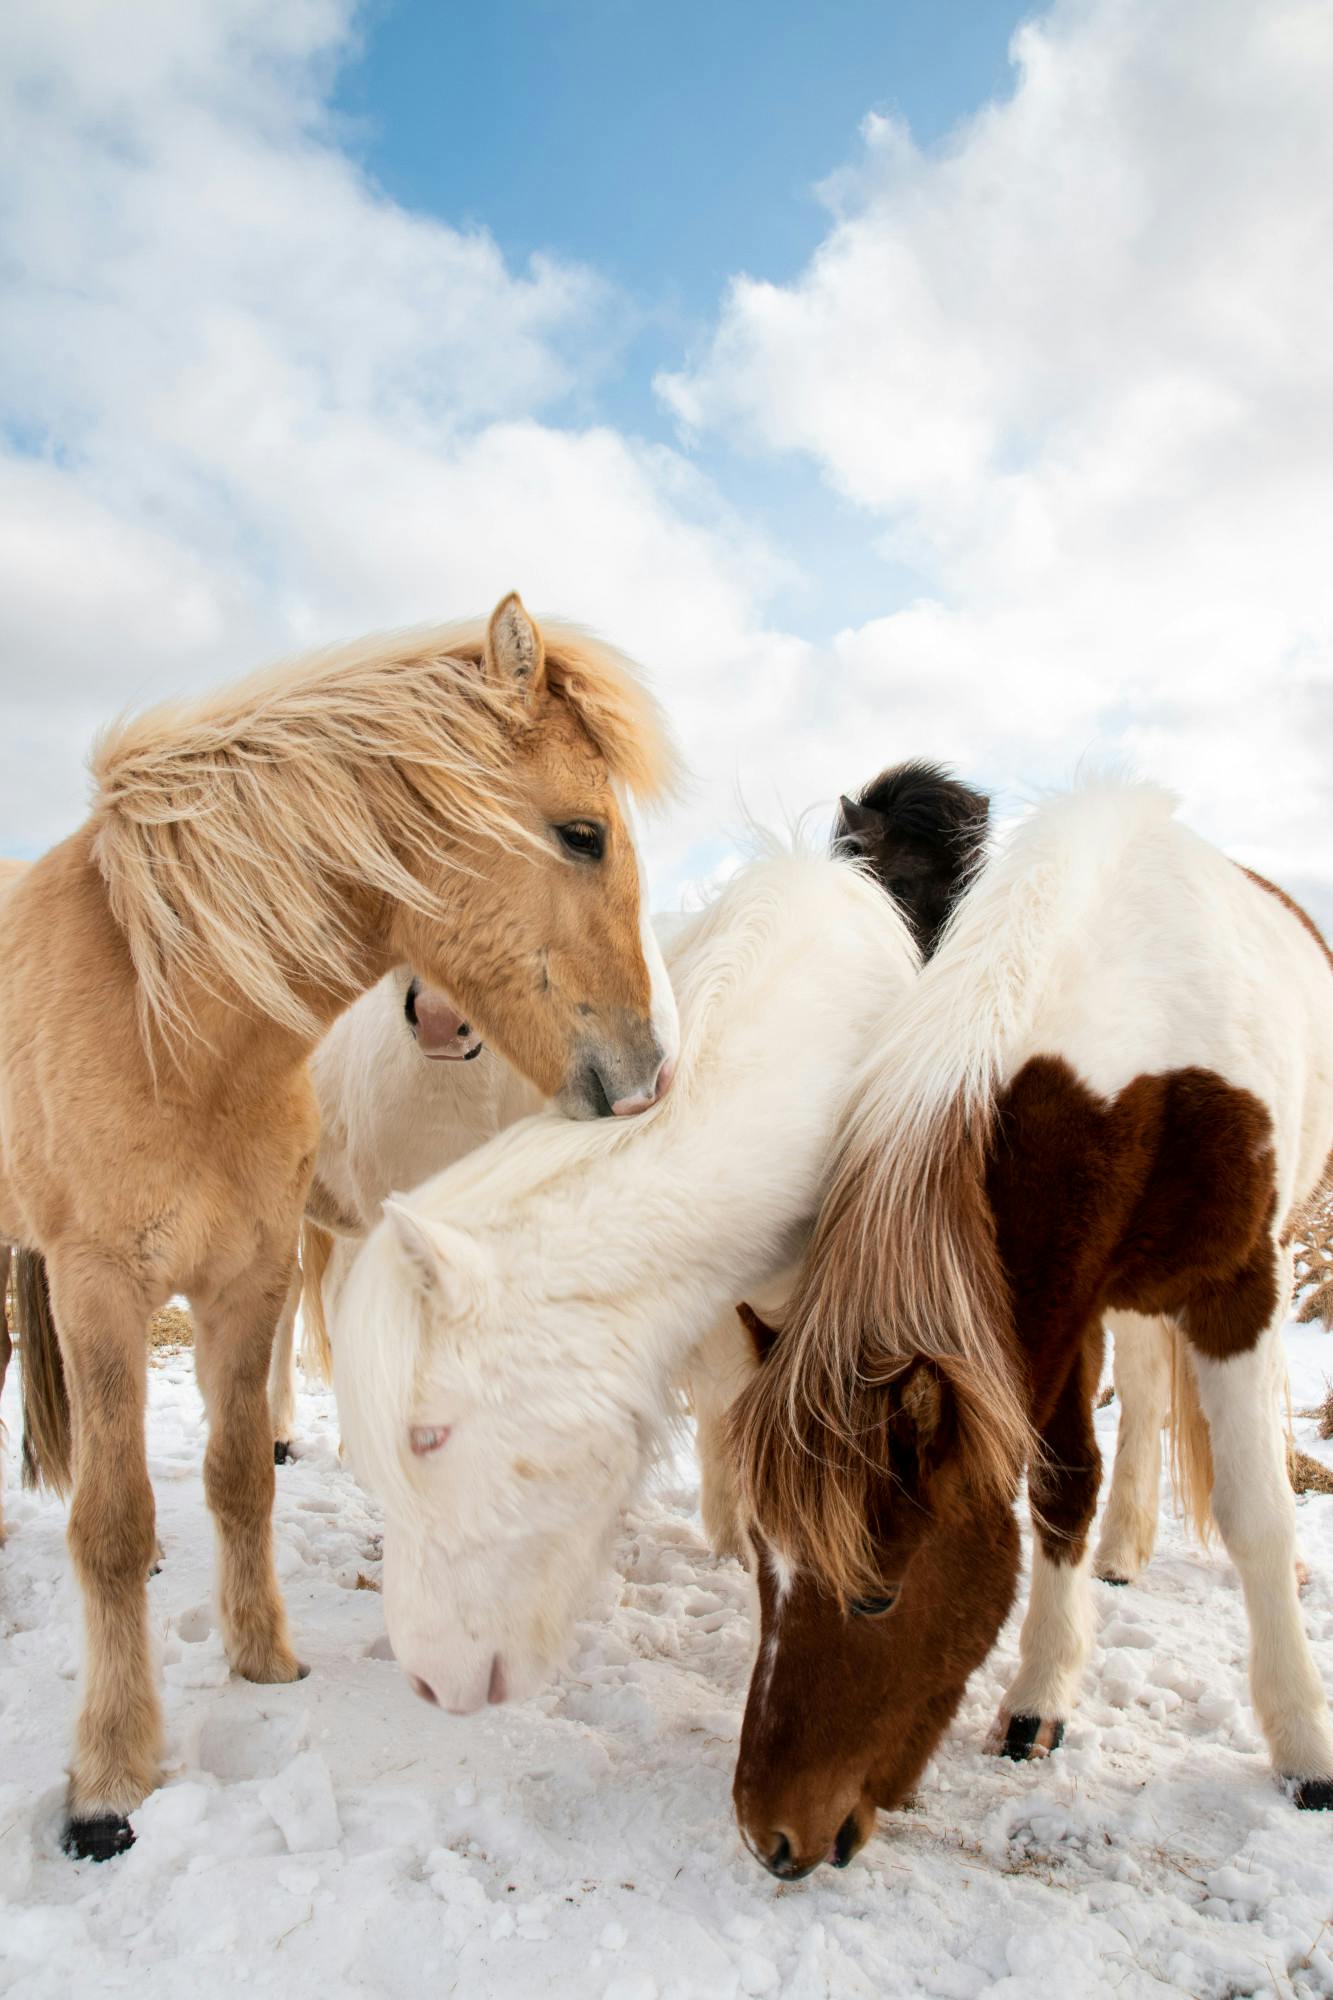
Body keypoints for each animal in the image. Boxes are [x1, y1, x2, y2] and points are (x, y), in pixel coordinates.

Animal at [2, 588, 676, 1856]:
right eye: (581, 833)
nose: (648, 1073)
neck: (165, 1013)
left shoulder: (250, 1274)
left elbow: (235, 1476)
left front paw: (265, 1659)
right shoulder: (97, 1285)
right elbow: (109, 1521)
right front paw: (108, 1777)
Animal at [728, 780, 1328, 1872]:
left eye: (874, 1593)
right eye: (761, 1561)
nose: (770, 1836)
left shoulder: (1237, 1285)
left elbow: (1256, 1512)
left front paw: (1304, 1745)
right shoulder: (1055, 1314)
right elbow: (1060, 1488)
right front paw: (1039, 1696)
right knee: (1144, 1393)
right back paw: (1123, 1548)